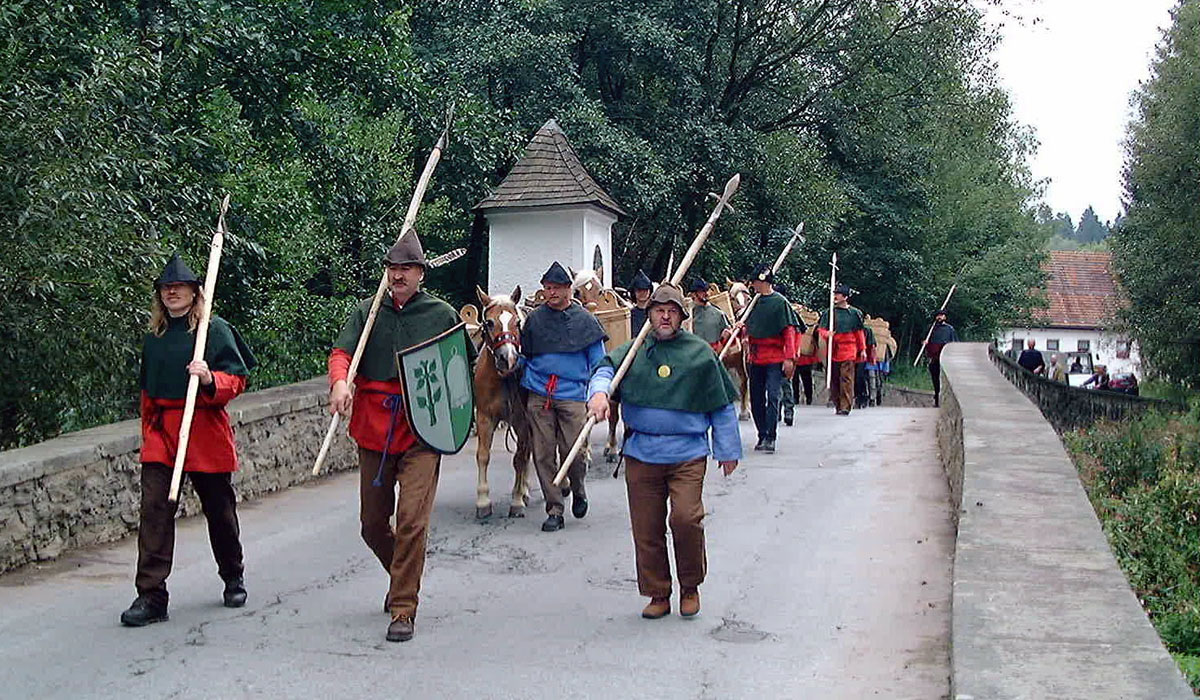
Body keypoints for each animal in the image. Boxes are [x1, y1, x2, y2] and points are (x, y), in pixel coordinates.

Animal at [470, 284, 532, 521]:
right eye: (489, 322)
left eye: (517, 322)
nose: (509, 358)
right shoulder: (485, 417)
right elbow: (483, 455)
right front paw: (483, 501)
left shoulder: (523, 421)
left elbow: (519, 459)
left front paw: (516, 500)